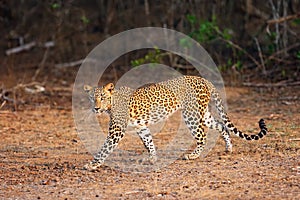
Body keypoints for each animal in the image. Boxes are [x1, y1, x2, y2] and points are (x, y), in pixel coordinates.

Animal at [82, 76, 268, 171]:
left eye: (102, 97)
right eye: (92, 98)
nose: (96, 108)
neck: (111, 104)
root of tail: (204, 80)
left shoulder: (117, 131)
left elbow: (104, 148)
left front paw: (93, 164)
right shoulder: (141, 127)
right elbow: (148, 141)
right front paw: (153, 158)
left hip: (191, 114)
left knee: (203, 136)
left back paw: (192, 155)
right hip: (203, 113)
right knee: (222, 125)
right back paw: (228, 148)